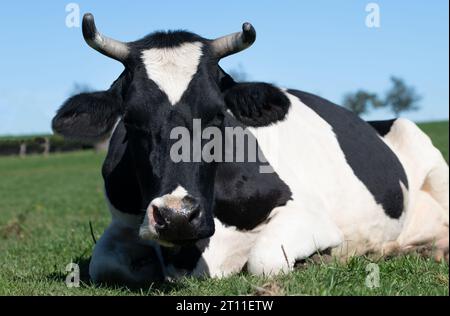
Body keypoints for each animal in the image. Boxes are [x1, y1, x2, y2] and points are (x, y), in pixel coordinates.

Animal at [51, 14, 446, 286]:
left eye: (216, 115)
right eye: (131, 120)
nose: (177, 216)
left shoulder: (308, 215)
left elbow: (265, 260)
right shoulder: (123, 221)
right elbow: (104, 264)